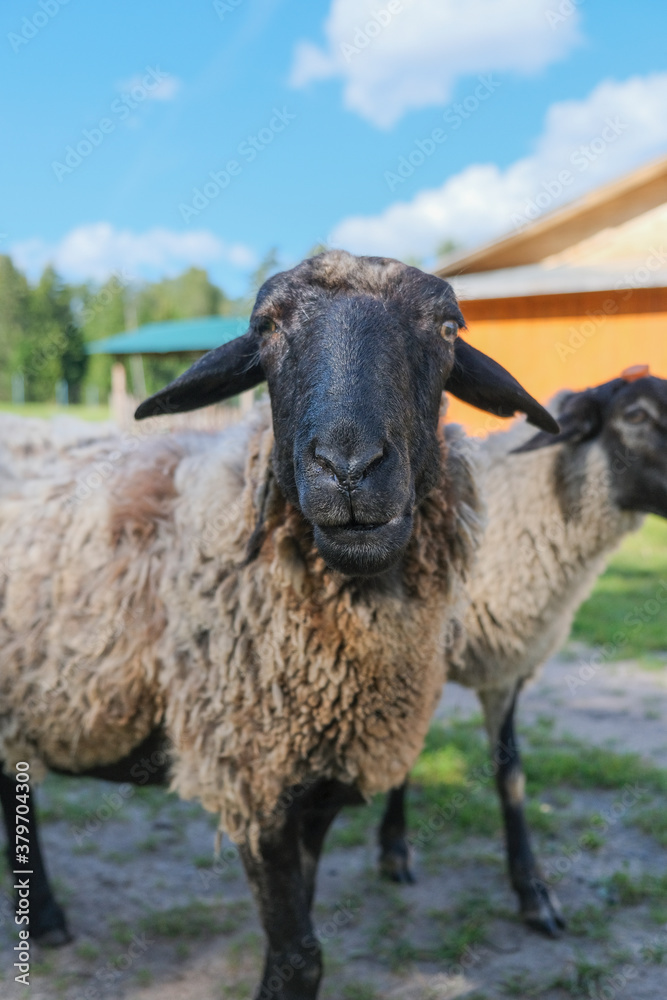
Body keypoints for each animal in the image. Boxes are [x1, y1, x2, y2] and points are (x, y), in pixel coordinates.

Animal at [0, 251, 557, 998]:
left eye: (447, 328)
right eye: (264, 328)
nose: (348, 468)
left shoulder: (316, 789)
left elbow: (296, 938)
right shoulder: (253, 775)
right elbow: (300, 954)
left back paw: (45, 918)